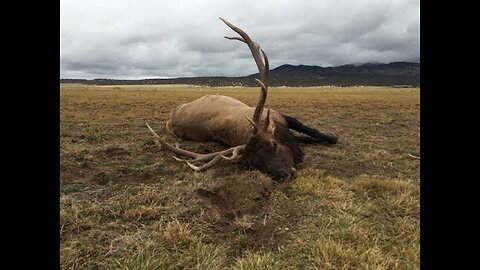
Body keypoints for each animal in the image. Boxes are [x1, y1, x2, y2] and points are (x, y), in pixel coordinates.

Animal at [146, 17, 338, 181]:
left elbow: (312, 132)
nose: (283, 174)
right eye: (254, 164)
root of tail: (171, 115)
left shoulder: (282, 116)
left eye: (274, 145)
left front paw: (331, 137)